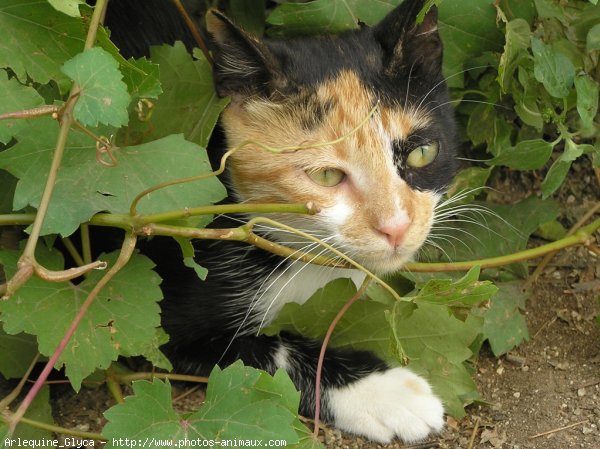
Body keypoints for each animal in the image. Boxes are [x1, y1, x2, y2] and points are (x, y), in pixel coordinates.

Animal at [106, 0, 454, 442]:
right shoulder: (159, 325)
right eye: (327, 175)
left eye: (422, 153)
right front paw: (385, 393)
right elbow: (258, 356)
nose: (395, 226)